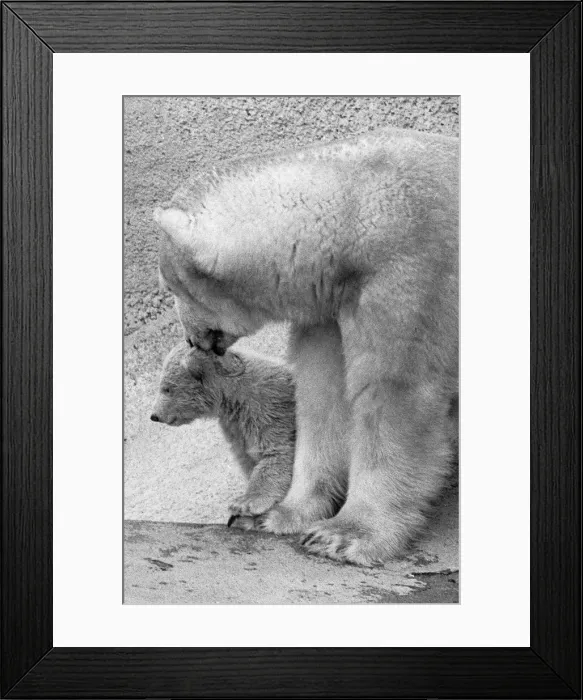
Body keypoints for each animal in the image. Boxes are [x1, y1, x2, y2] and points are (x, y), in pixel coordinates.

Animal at [150, 341, 296, 527]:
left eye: (167, 388)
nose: (154, 415)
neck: (232, 397)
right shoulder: (234, 426)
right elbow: (247, 458)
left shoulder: (269, 405)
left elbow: (277, 450)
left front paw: (245, 503)